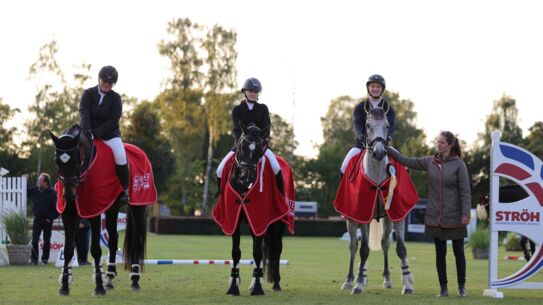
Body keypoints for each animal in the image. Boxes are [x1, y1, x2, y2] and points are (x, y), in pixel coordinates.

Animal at [49, 124, 151, 294]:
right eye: (56, 161)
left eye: (76, 160)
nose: (69, 195)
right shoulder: (68, 212)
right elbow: (69, 248)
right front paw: (64, 285)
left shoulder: (93, 211)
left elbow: (95, 248)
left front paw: (98, 286)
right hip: (112, 209)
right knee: (113, 240)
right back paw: (109, 278)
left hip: (138, 207)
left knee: (136, 241)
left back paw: (135, 280)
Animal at [212, 123, 294, 294]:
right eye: (241, 146)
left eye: (260, 149)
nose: (247, 177)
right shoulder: (235, 219)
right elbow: (236, 252)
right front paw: (234, 285)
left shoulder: (260, 218)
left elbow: (257, 252)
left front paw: (257, 287)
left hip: (278, 222)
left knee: (276, 248)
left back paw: (276, 283)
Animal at [334, 103, 418, 294]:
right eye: (367, 126)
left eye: (387, 125)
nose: (379, 153)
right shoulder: (362, 215)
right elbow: (364, 250)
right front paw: (358, 285)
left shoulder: (398, 215)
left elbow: (401, 249)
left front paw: (407, 284)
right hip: (351, 219)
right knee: (353, 246)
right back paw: (350, 280)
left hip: (387, 220)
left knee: (385, 243)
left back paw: (386, 279)